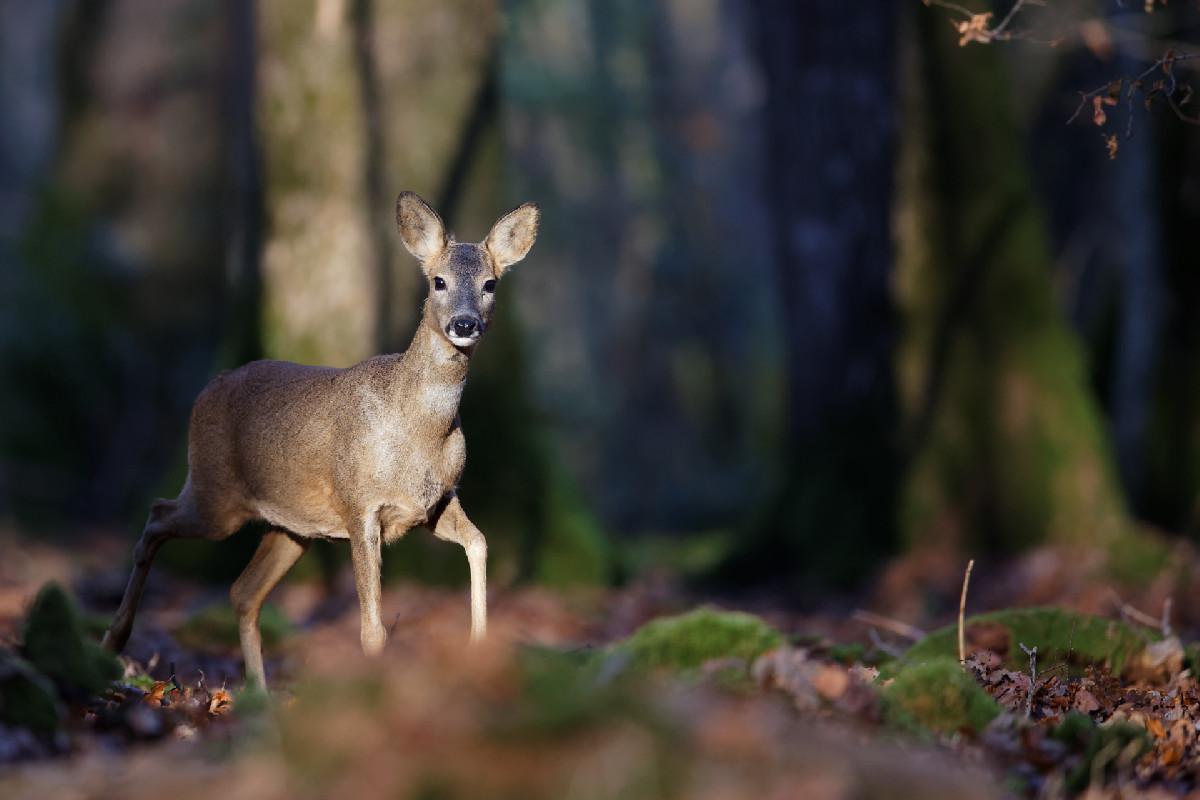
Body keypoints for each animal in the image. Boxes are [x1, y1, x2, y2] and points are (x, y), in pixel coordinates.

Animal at [103, 191, 540, 690]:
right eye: (438, 281)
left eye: (490, 284)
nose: (465, 324)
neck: (419, 433)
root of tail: (210, 384)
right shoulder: (359, 504)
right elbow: (372, 628)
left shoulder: (436, 502)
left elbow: (480, 542)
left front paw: (478, 646)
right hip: (217, 495)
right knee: (158, 516)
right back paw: (114, 641)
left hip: (291, 525)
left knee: (242, 591)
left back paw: (258, 693)